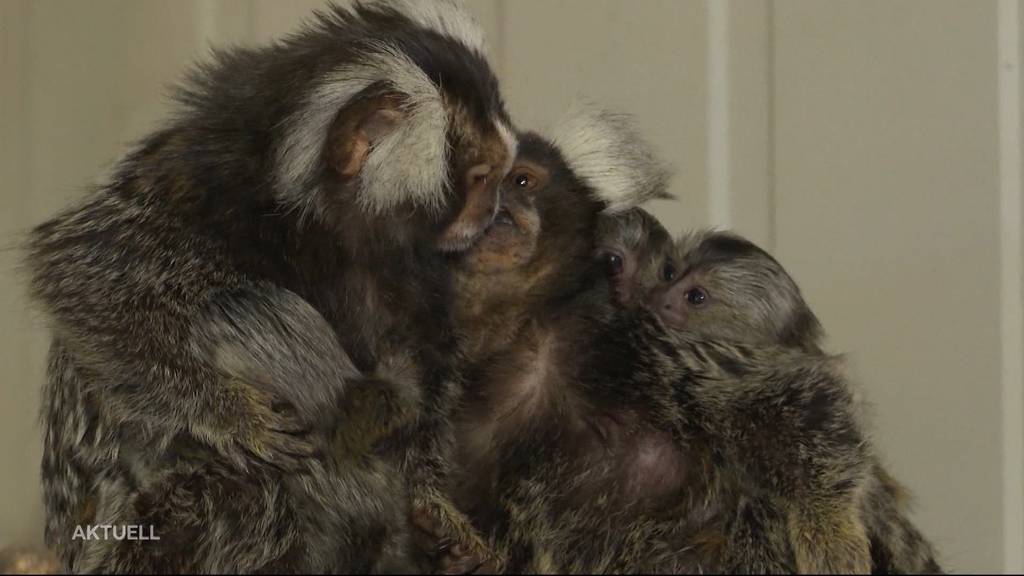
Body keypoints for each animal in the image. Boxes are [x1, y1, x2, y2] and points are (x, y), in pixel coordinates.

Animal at [25, 2, 512, 569]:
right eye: (481, 178)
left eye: (500, 175)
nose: (491, 209)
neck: (320, 224)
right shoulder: (198, 188)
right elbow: (78, 277)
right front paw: (228, 414)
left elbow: (428, 373)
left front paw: (434, 506)